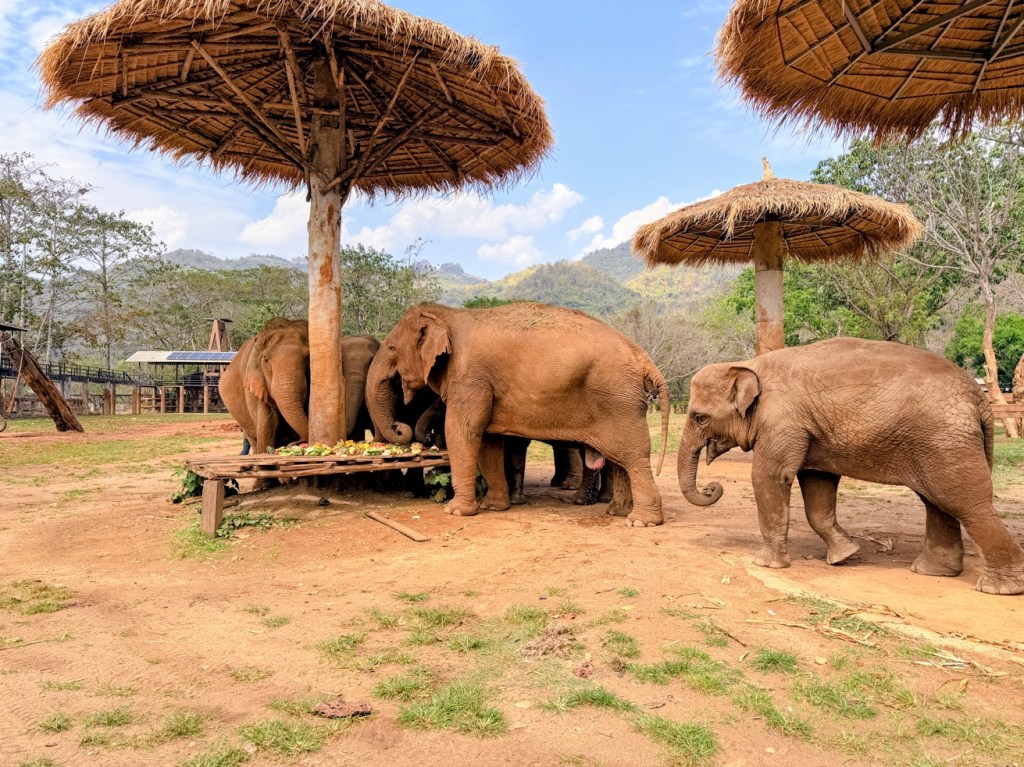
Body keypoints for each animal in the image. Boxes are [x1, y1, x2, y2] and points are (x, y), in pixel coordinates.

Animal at [366, 301, 670, 527]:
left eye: (391, 348)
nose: (400, 427)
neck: (448, 313)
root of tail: (644, 357)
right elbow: (488, 441)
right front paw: (494, 507)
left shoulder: (471, 378)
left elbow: (463, 431)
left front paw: (456, 511)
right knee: (619, 459)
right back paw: (618, 513)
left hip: (618, 399)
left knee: (633, 455)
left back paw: (641, 522)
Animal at [679, 336, 1024, 596]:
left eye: (699, 417)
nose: (712, 487)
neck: (750, 364)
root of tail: (977, 396)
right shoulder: (808, 431)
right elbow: (818, 484)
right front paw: (845, 555)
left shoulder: (781, 421)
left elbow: (770, 477)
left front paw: (764, 564)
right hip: (937, 443)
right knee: (937, 502)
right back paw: (933, 572)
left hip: (944, 440)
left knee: (965, 504)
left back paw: (999, 588)